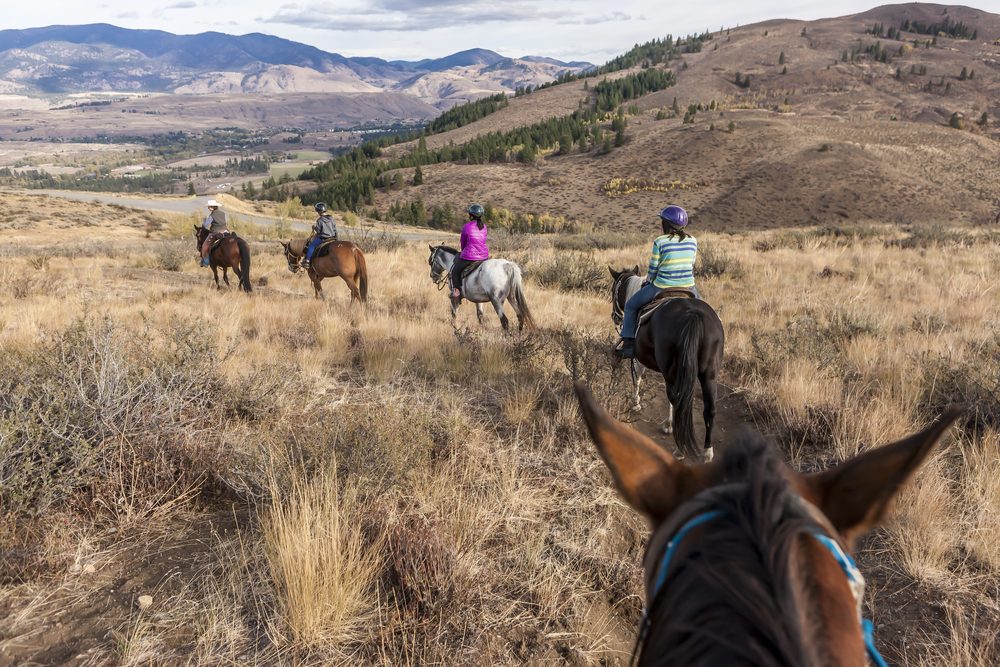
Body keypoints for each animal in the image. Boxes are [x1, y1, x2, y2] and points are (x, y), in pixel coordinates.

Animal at [604, 266, 724, 460]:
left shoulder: (639, 357)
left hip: (675, 371)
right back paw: (707, 452)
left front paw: (636, 403)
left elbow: (637, 376)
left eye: (614, 290)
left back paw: (679, 449)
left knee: (679, 401)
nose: (615, 316)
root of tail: (694, 315)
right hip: (709, 374)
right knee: (709, 409)